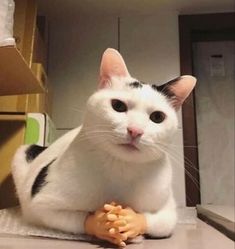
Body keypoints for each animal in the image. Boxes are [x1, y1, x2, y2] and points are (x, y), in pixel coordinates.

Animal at [11, 47, 196, 244]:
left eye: (157, 117)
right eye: (118, 106)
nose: (135, 131)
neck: (121, 167)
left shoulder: (168, 209)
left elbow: (160, 223)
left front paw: (133, 221)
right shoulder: (42, 202)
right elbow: (77, 218)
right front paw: (99, 222)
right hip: (23, 152)